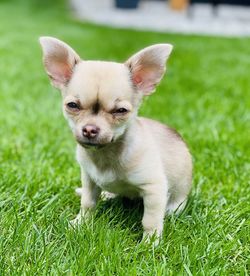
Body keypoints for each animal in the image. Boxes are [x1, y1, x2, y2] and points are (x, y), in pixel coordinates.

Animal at [39, 36, 192, 244]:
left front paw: (150, 243)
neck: (105, 154)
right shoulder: (89, 179)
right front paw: (80, 223)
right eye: (72, 105)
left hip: (178, 196)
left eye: (120, 111)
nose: (89, 129)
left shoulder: (154, 189)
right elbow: (88, 203)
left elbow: (150, 220)